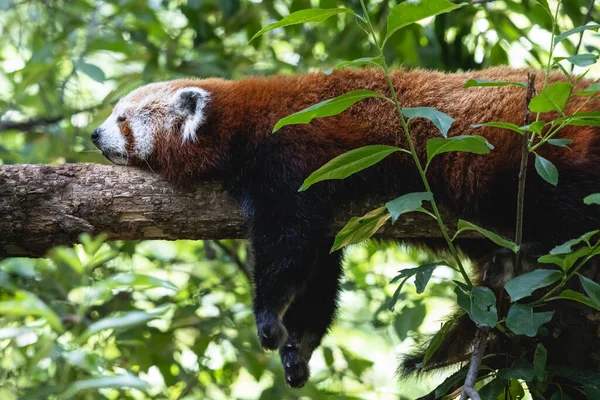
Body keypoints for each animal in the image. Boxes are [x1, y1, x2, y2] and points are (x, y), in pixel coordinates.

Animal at [92, 67, 600, 390]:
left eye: (122, 118)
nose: (95, 135)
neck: (239, 123)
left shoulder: (290, 156)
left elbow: (287, 247)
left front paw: (268, 318)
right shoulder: (325, 208)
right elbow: (317, 272)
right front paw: (298, 346)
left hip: (533, 157)